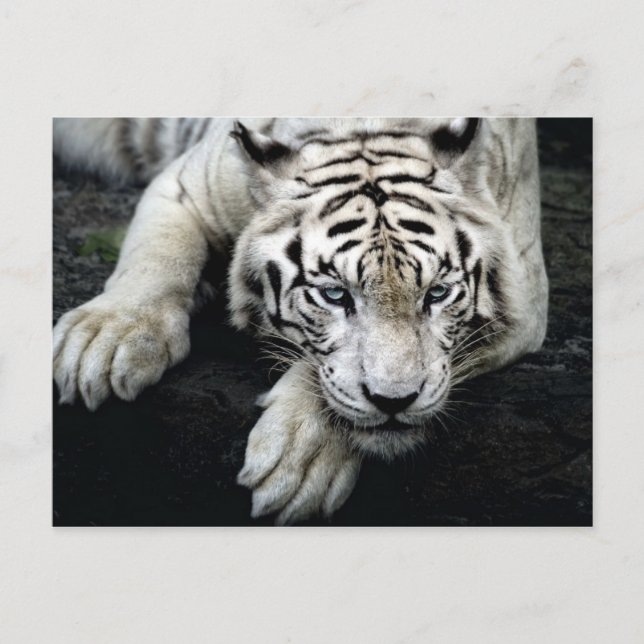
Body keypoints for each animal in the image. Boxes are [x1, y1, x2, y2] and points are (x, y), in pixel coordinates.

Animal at [53, 117, 548, 525]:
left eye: (437, 294)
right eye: (335, 294)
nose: (395, 401)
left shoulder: (525, 299)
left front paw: (299, 457)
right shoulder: (183, 186)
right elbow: (155, 258)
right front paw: (103, 343)